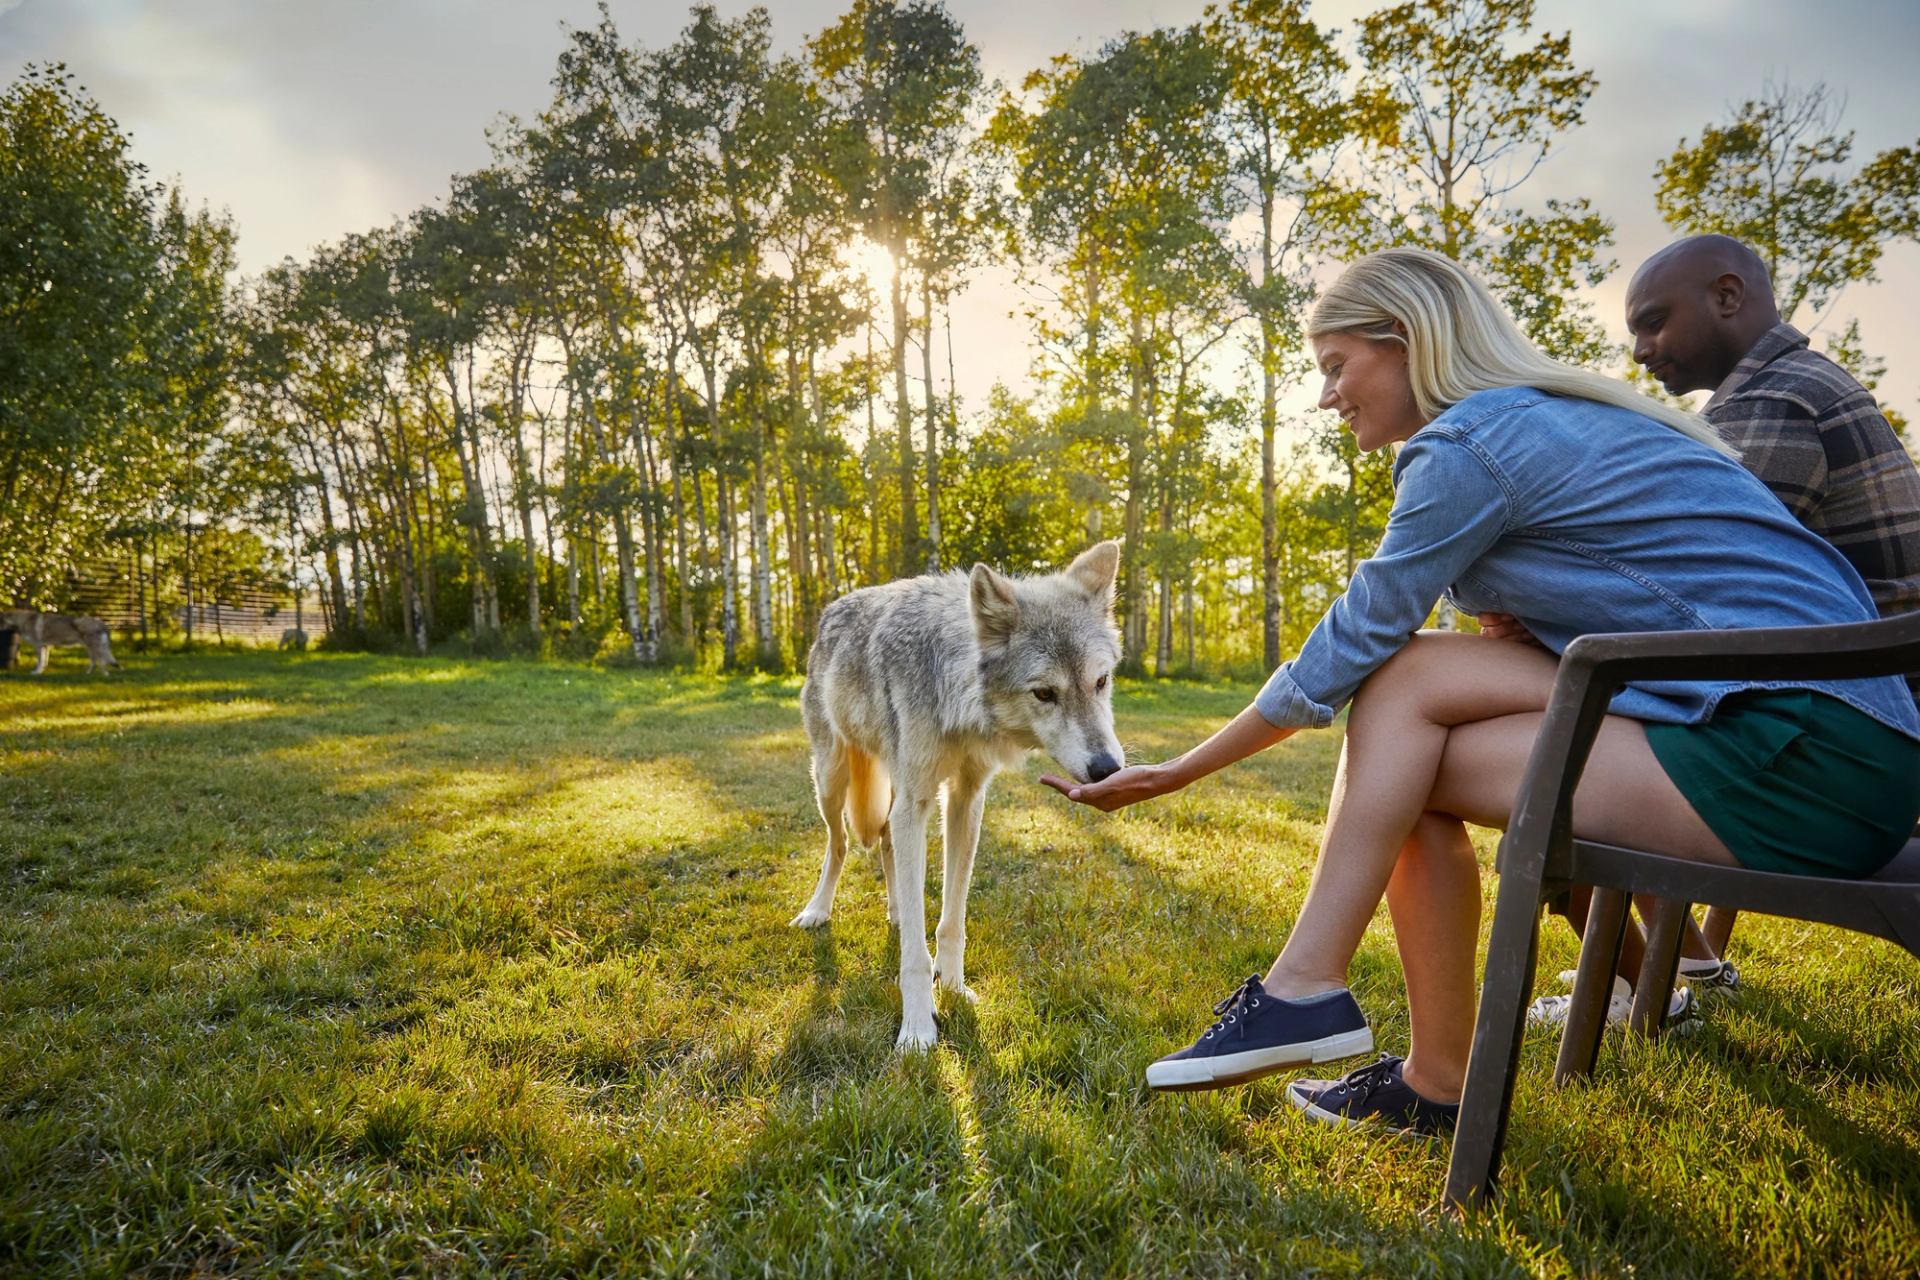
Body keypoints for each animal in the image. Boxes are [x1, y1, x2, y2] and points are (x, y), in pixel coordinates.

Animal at [791, 541, 1121, 1051]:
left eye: (1100, 682)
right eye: (1044, 693)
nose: (1108, 769)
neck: (956, 694)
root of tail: (832, 610)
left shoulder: (965, 799)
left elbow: (951, 921)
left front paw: (953, 989)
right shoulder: (917, 802)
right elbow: (913, 955)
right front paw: (917, 1029)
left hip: (891, 792)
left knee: (885, 842)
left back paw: (894, 912)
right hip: (831, 779)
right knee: (840, 842)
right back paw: (817, 911)